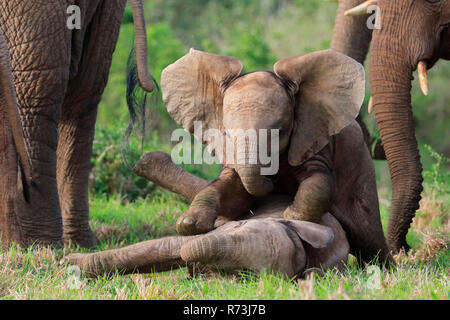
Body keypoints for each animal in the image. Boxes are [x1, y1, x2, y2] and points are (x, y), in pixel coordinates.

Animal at [162, 48, 394, 266]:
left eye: (280, 132)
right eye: (226, 133)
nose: (271, 181)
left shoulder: (313, 140)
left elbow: (319, 180)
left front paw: (291, 216)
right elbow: (231, 191)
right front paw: (188, 223)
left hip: (361, 165)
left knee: (367, 233)